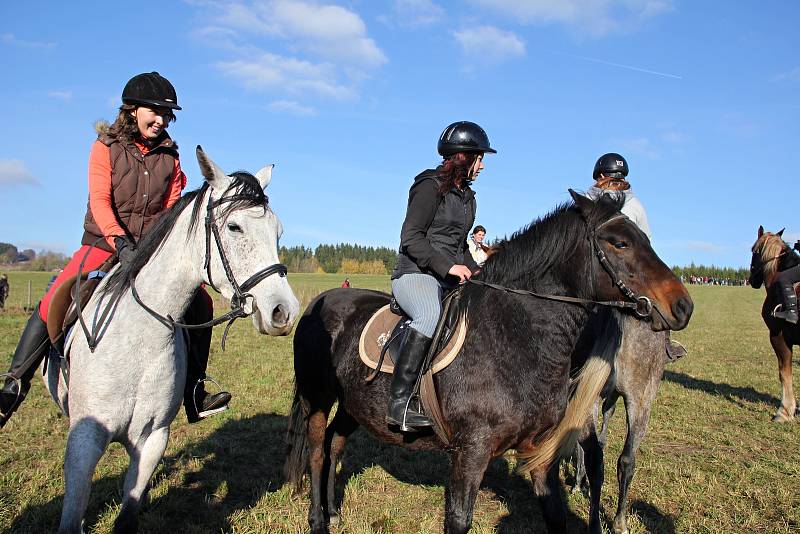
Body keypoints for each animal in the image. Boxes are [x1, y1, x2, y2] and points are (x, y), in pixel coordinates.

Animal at [43, 147, 300, 534]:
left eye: (278, 230)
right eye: (234, 226)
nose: (284, 311)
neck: (137, 338)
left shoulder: (152, 438)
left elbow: (129, 511)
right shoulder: (84, 441)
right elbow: (72, 514)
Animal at [284, 193, 692, 534]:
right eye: (619, 242)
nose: (683, 306)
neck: (518, 333)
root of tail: (320, 301)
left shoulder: (540, 454)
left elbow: (557, 515)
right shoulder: (471, 451)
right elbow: (458, 520)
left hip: (354, 403)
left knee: (336, 444)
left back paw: (334, 512)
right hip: (317, 398)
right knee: (318, 452)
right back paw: (317, 520)